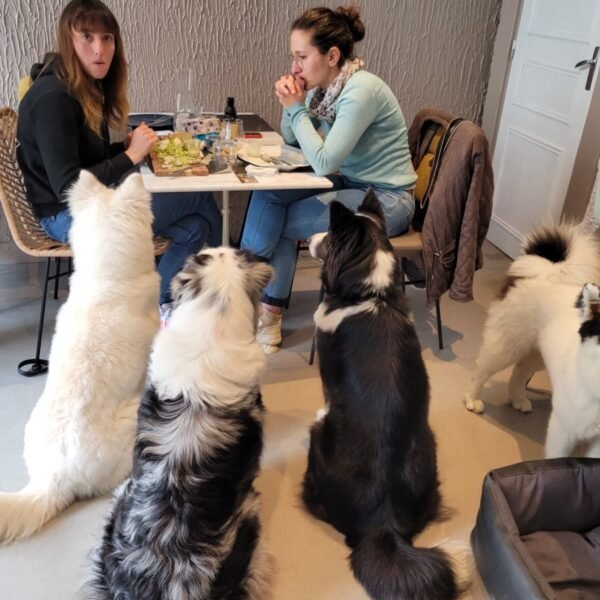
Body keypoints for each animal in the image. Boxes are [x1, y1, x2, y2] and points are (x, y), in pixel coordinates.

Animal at [464, 223, 600, 458]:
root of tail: (548, 272)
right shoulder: (562, 429)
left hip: (537, 354)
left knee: (519, 372)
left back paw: (517, 398)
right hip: (507, 345)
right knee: (481, 371)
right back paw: (473, 398)